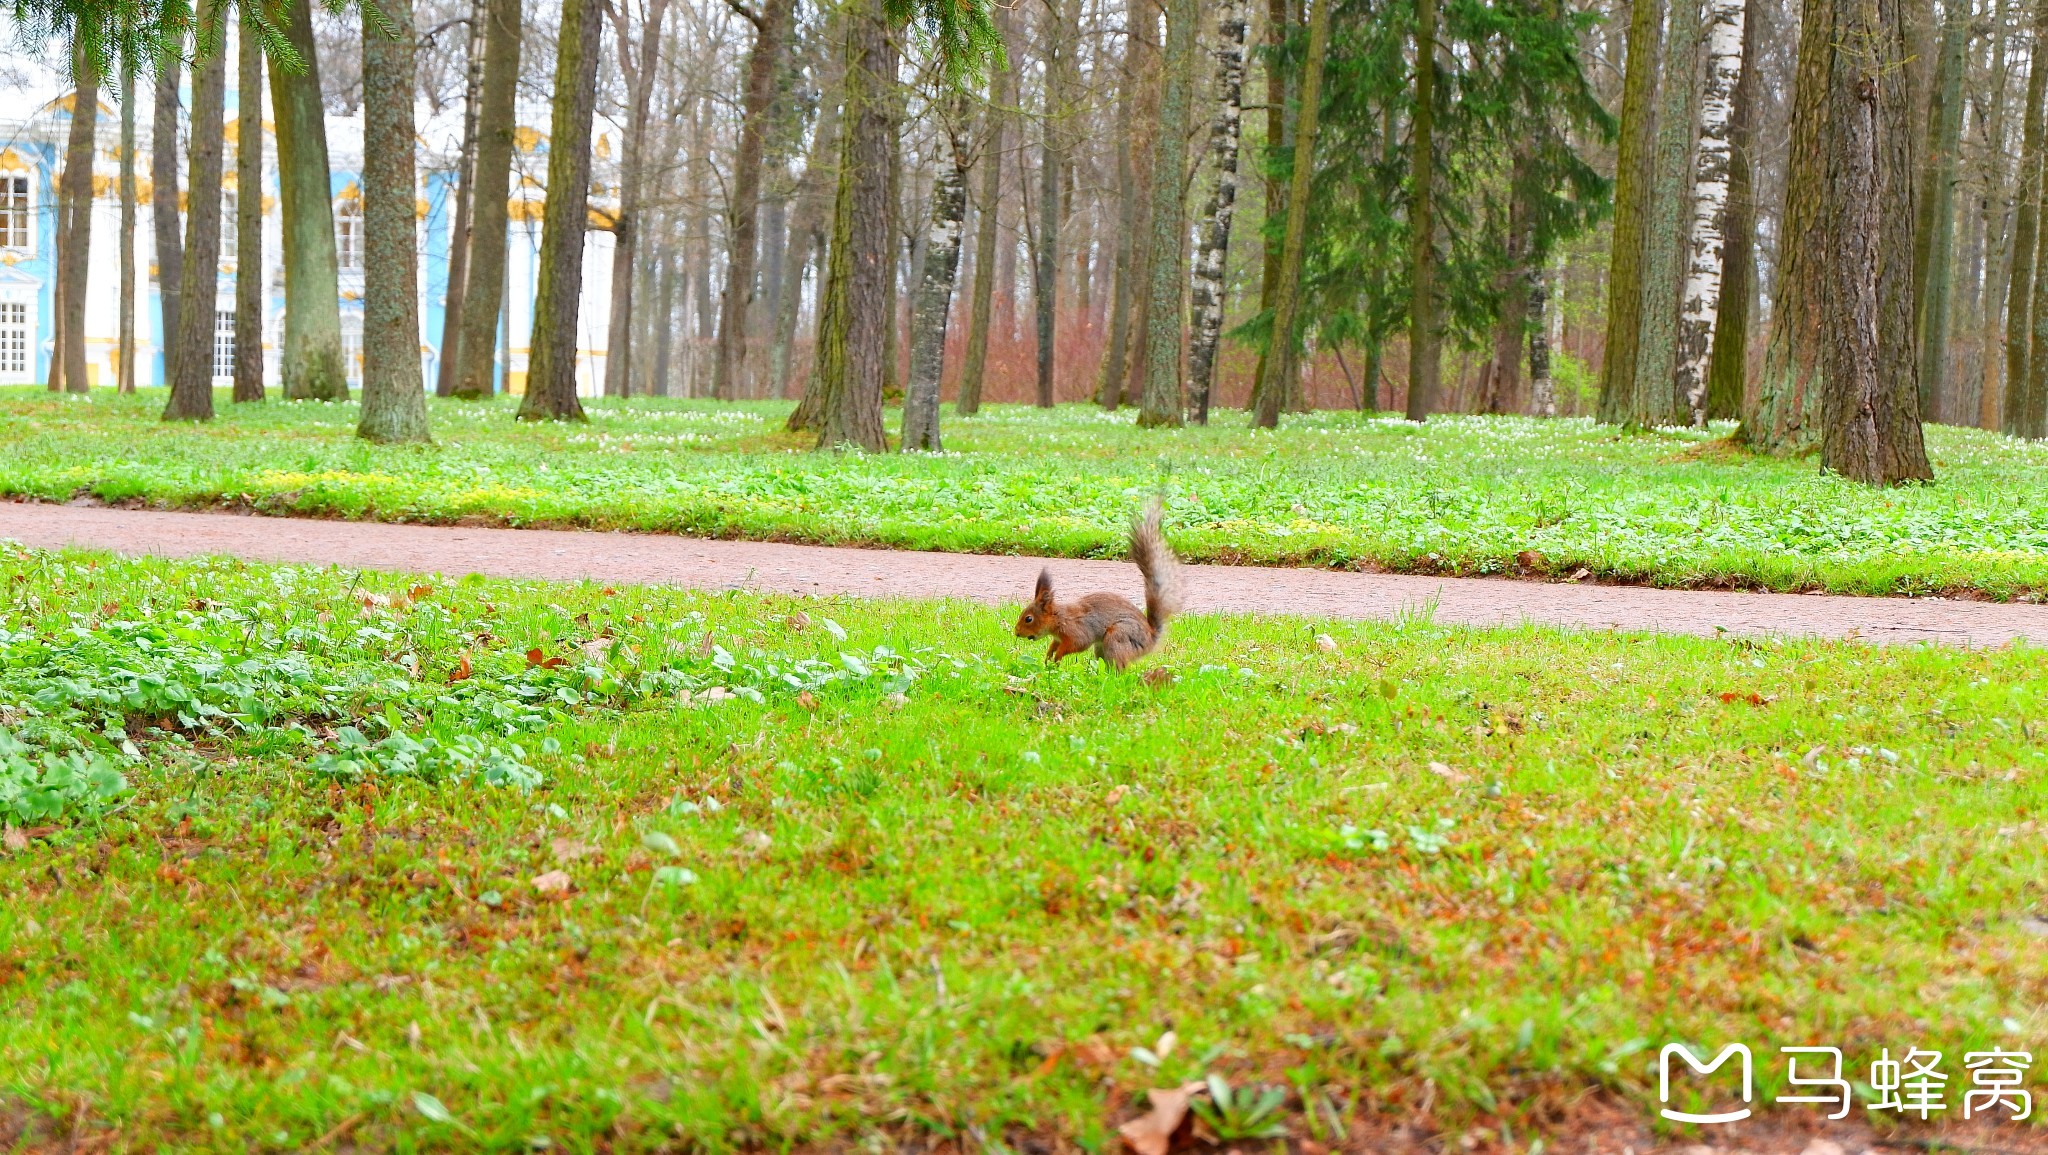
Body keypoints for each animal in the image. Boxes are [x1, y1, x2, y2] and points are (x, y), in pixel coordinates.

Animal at [1011, 497, 1187, 667]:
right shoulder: (1058, 637)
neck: (1059, 617)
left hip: (1117, 637)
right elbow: (1054, 644)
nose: (1016, 632)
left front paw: (1057, 657)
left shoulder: (1078, 631)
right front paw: (1048, 656)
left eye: (1028, 619)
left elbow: (1077, 645)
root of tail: (1151, 637)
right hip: (1101, 647)